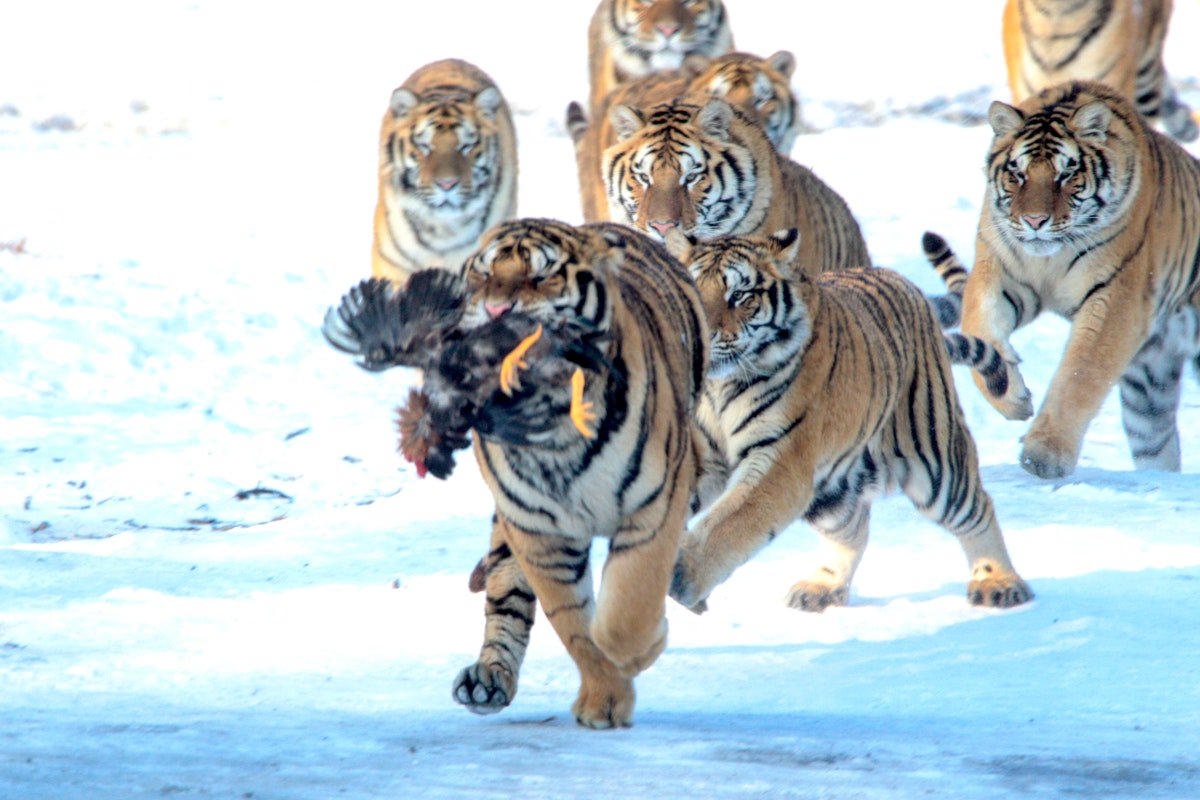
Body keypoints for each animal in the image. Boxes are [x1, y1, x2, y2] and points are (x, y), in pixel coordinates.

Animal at [449, 218, 709, 729]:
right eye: (483, 276)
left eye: (541, 277)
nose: (495, 310)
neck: (551, 425)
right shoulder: (538, 533)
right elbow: (572, 622)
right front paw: (605, 698)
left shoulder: (655, 506)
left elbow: (629, 603)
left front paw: (637, 652)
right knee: (505, 595)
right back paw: (485, 680)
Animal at [662, 228, 1033, 613]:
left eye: (739, 295)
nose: (703, 335)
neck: (719, 387)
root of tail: (908, 286)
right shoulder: (698, 452)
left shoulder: (778, 459)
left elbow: (730, 521)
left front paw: (681, 573)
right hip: (831, 492)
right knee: (852, 528)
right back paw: (823, 587)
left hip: (934, 463)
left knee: (976, 509)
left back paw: (998, 582)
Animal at [961, 80, 1200, 479]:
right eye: (1018, 173)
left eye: (1066, 174)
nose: (1034, 221)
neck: (1050, 259)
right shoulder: (1002, 272)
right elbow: (978, 324)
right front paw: (1011, 396)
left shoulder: (1117, 296)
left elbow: (1080, 373)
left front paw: (1043, 456)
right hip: (1149, 385)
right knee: (1155, 441)